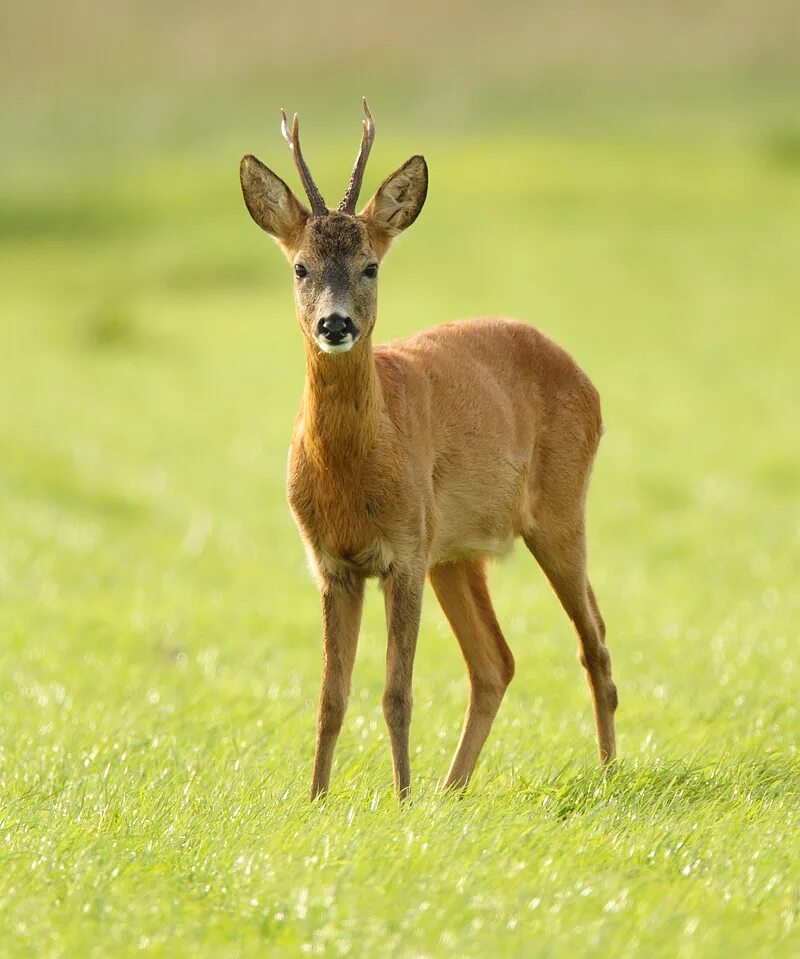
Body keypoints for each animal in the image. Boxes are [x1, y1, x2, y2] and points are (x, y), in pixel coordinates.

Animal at [239, 101, 620, 800]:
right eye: (301, 267)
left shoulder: (404, 553)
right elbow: (330, 696)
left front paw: (400, 799)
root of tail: (584, 377)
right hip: (457, 550)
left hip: (558, 509)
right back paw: (454, 789)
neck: (352, 473)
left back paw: (606, 773)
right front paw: (316, 800)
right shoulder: (331, 562)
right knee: (496, 661)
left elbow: (396, 692)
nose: (335, 324)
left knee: (594, 638)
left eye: (370, 266)